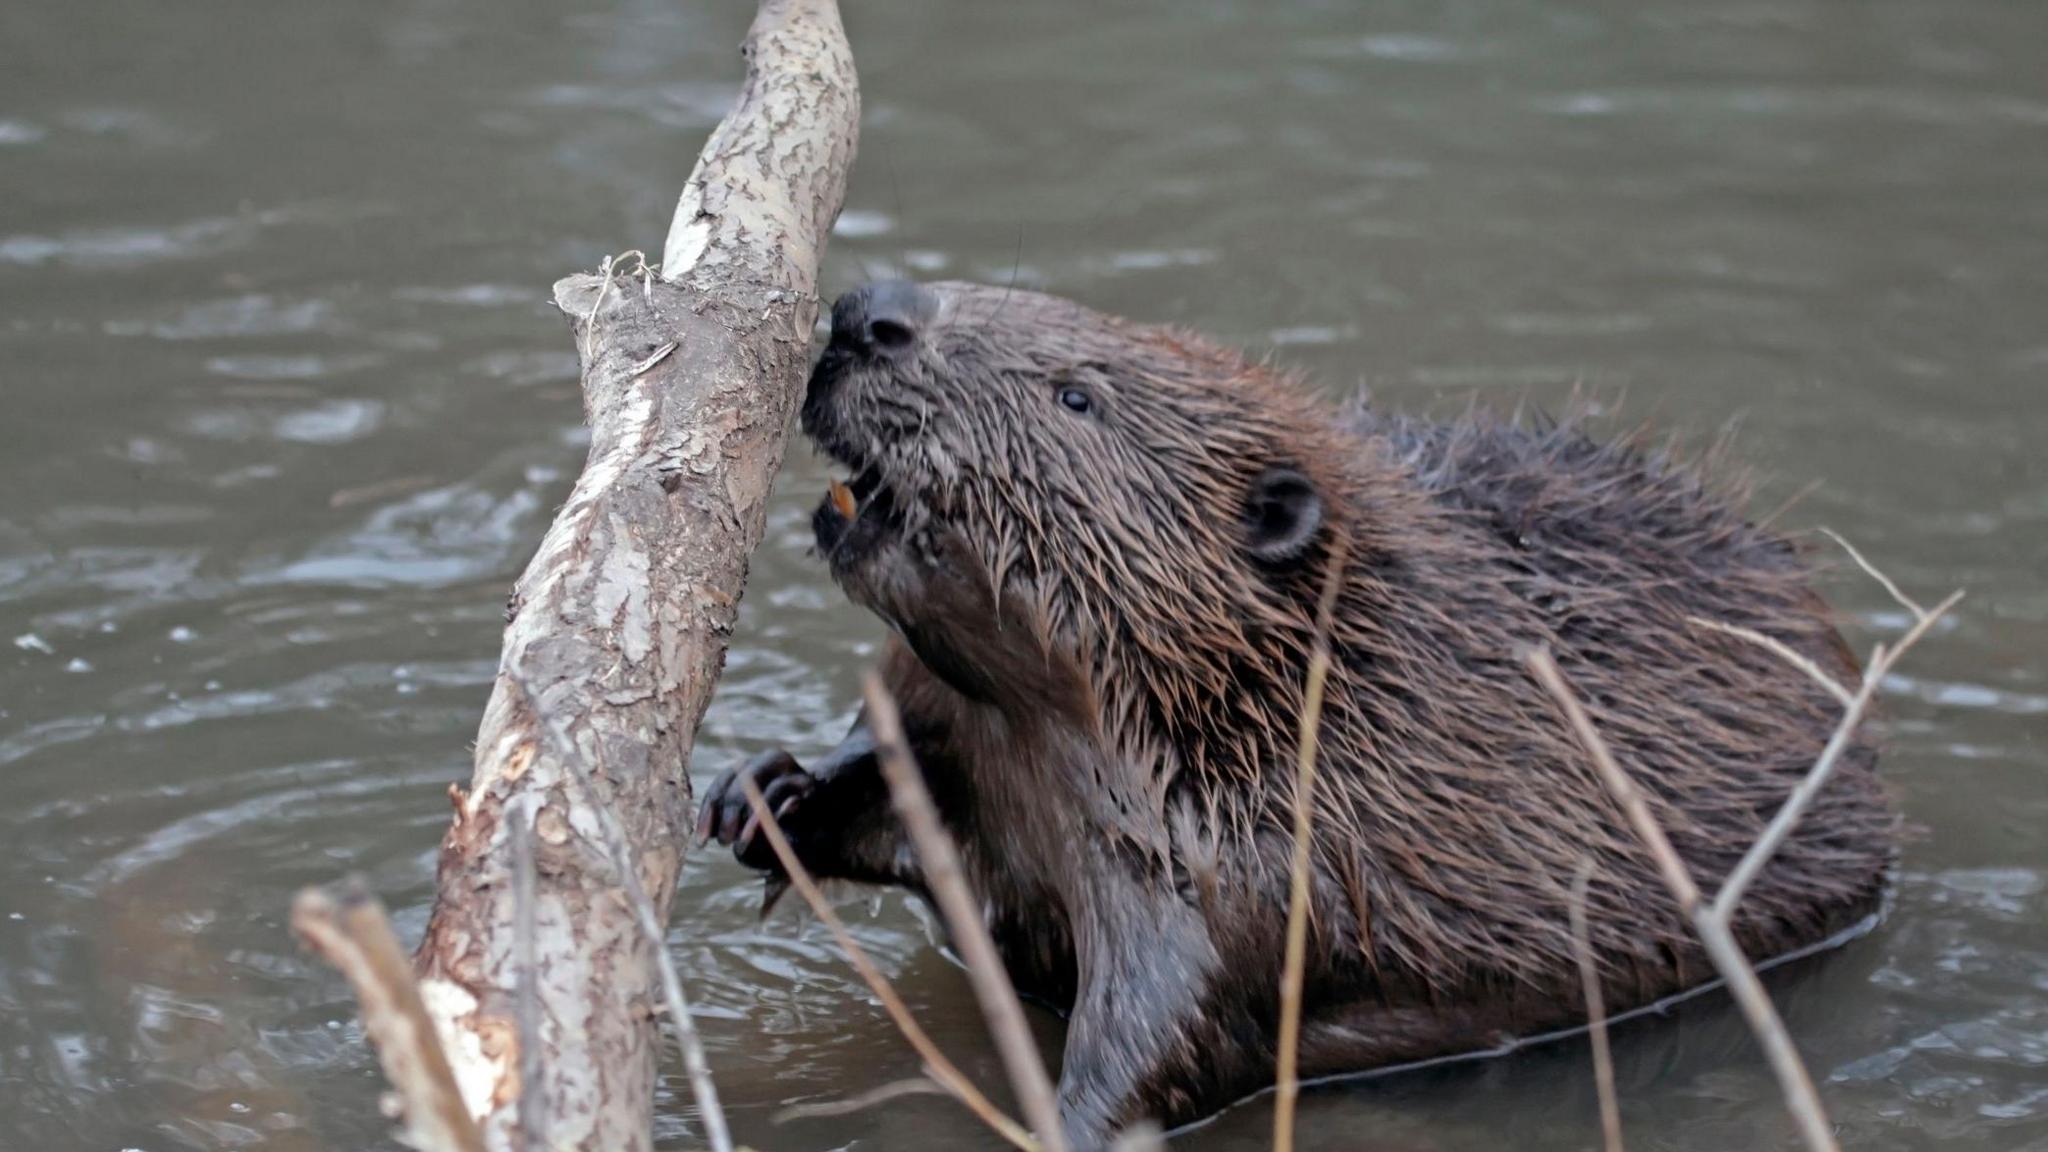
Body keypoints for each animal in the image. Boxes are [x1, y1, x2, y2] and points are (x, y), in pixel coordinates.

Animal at [696, 276, 1892, 1139]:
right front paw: (759, 796)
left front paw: (1058, 1121)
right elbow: (903, 786)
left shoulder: (1255, 860)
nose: (870, 312)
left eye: (1076, 394)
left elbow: (1166, 1031)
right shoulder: (969, 736)